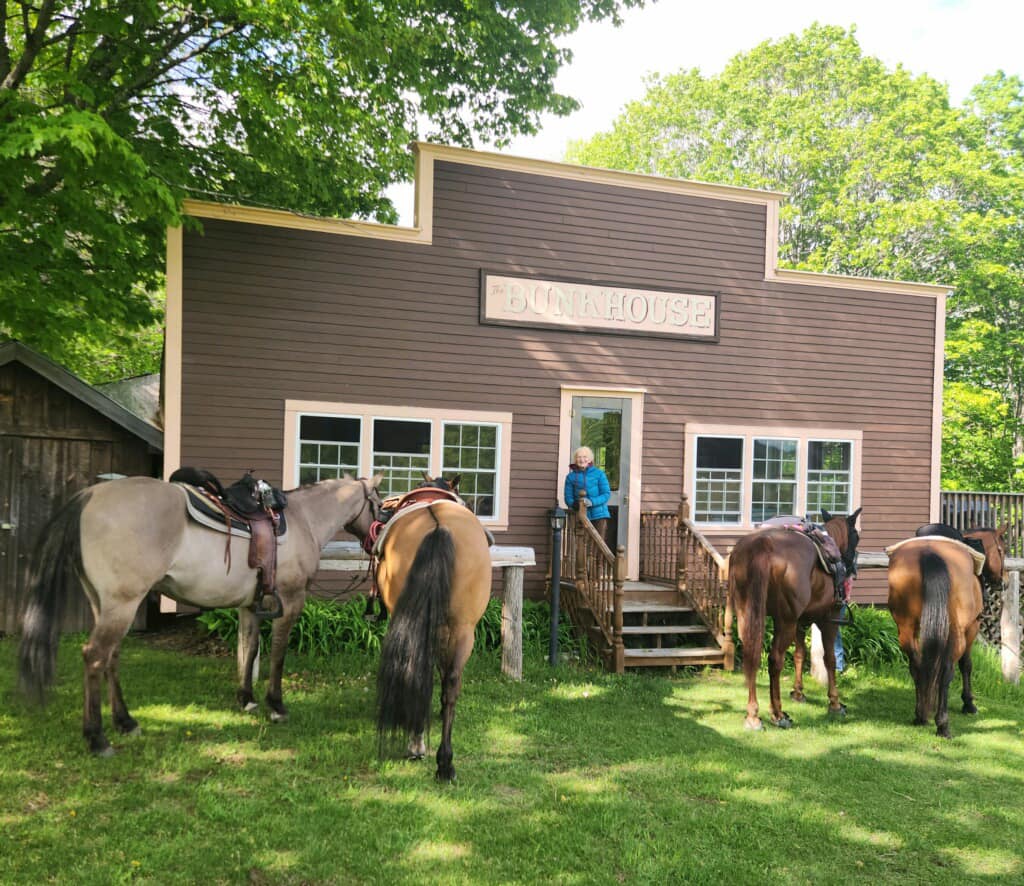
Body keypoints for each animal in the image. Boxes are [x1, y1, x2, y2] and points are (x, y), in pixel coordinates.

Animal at [18, 471, 382, 753]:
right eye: (379, 504)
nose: (375, 540)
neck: (304, 519)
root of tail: (91, 494)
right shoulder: (291, 602)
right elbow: (278, 653)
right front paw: (276, 705)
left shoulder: (250, 606)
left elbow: (249, 648)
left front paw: (246, 699)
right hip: (122, 603)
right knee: (95, 656)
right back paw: (97, 738)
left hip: (105, 604)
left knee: (112, 656)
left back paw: (126, 722)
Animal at [729, 508, 864, 729]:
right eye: (856, 536)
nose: (852, 568)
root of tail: (761, 545)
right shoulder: (828, 619)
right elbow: (830, 659)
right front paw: (835, 703)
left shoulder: (801, 621)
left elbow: (800, 654)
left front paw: (798, 692)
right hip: (786, 621)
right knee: (775, 660)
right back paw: (777, 713)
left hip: (748, 616)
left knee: (752, 655)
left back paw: (753, 715)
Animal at [888, 522, 1007, 737]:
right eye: (1001, 550)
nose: (1002, 582)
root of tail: (929, 552)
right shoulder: (972, 627)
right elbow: (966, 665)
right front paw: (969, 704)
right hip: (957, 632)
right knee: (946, 671)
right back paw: (942, 724)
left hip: (906, 628)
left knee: (916, 664)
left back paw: (921, 715)